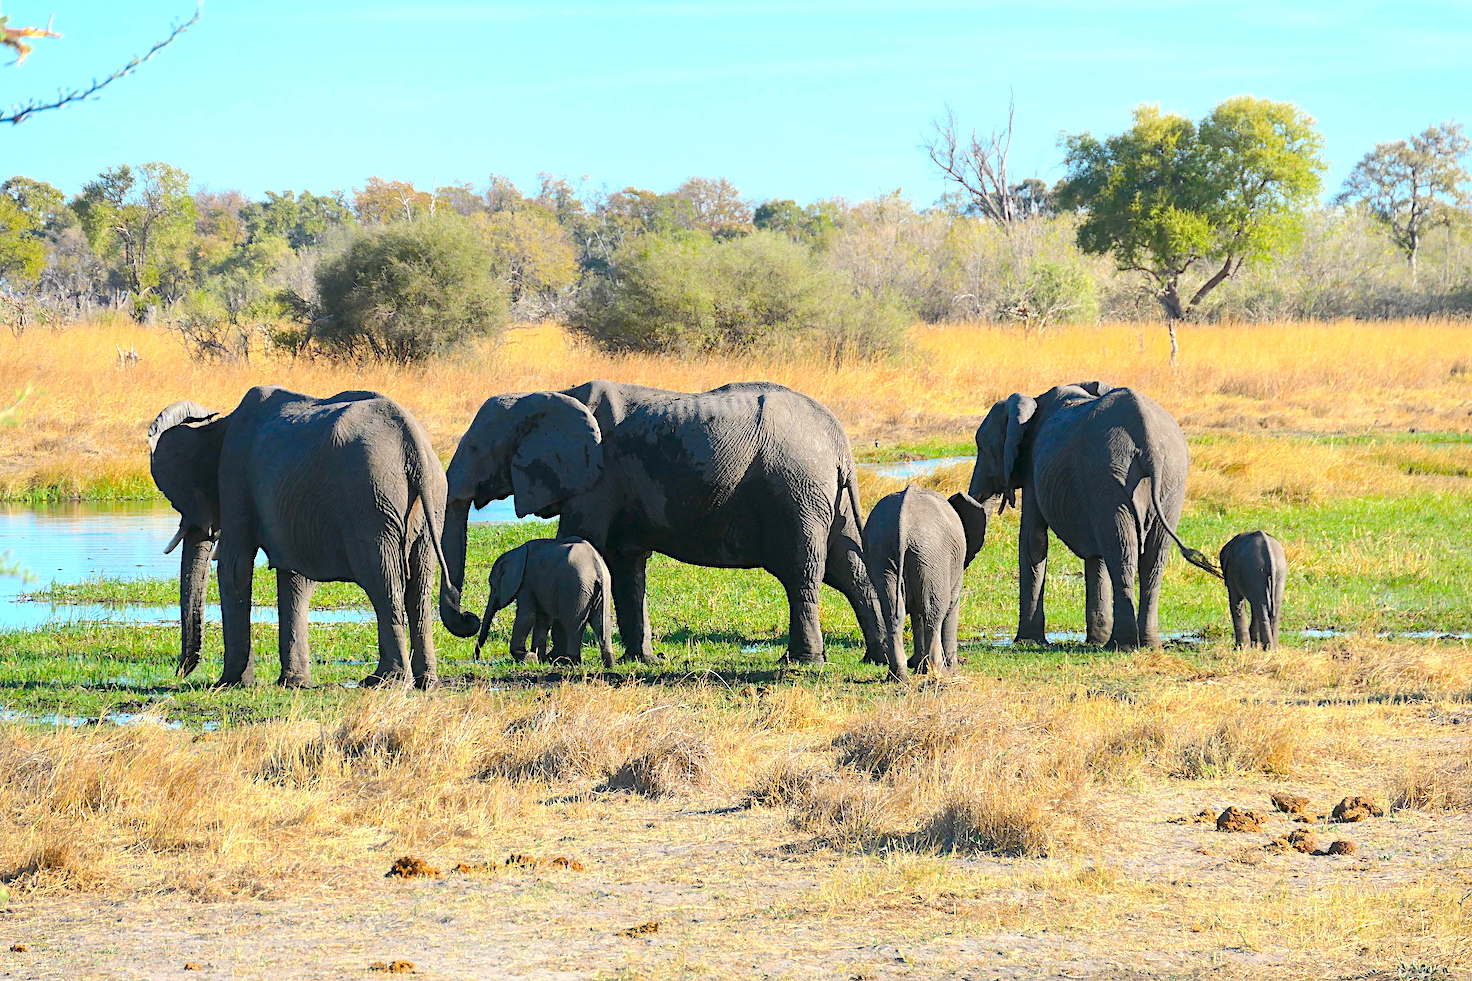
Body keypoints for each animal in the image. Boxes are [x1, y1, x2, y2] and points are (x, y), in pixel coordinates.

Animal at [147, 382, 459, 686]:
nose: (181, 673)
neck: (218, 425)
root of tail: (412, 442)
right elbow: (296, 578)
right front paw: (294, 683)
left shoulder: (235, 478)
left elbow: (235, 567)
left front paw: (231, 683)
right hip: (431, 500)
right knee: (419, 588)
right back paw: (425, 681)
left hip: (371, 501)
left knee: (384, 582)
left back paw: (385, 681)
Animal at [468, 536, 612, 665]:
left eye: (492, 585)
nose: (476, 657)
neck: (515, 553)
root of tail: (597, 567)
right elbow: (542, 619)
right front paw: (539, 658)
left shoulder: (526, 582)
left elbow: (526, 616)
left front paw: (527, 657)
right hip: (600, 590)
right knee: (602, 624)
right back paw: (608, 664)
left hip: (575, 587)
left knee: (573, 626)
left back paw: (570, 662)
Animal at [859, 486, 989, 677]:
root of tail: (903, 523)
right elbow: (951, 605)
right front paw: (952, 672)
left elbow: (916, 612)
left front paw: (918, 667)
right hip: (933, 554)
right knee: (933, 612)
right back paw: (938, 672)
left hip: (883, 550)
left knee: (892, 611)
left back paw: (898, 677)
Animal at [959, 382, 1212, 648]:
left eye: (981, 448)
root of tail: (1148, 437)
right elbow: (1095, 552)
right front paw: (1094, 641)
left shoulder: (1034, 467)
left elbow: (1033, 540)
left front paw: (1028, 642)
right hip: (1169, 480)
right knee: (1152, 557)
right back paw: (1147, 644)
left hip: (1111, 476)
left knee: (1122, 553)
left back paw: (1121, 644)